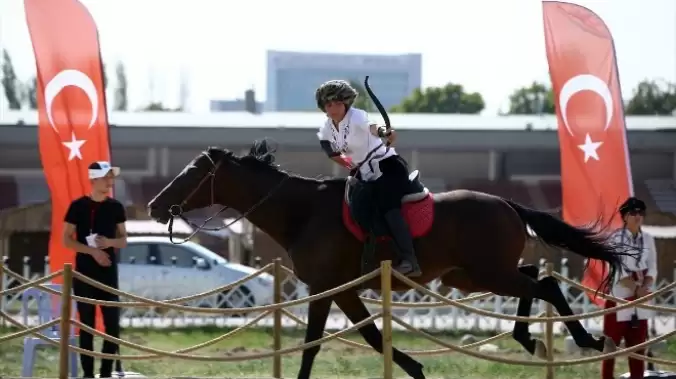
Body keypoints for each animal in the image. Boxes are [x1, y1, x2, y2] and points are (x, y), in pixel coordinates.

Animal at [147, 145, 632, 379]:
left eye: (193, 173)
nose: (154, 205)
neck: (302, 212)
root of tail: (507, 204)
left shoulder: (328, 288)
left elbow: (317, 345)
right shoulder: (339, 291)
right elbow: (372, 338)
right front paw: (415, 367)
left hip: (487, 274)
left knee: (546, 285)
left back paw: (583, 339)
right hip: (475, 277)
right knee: (533, 278)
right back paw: (528, 338)